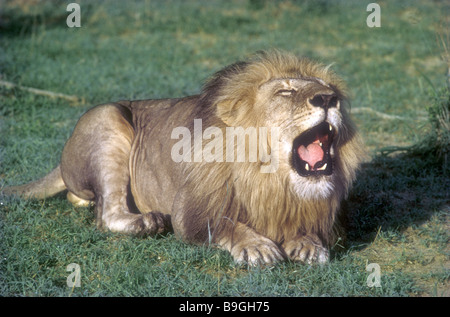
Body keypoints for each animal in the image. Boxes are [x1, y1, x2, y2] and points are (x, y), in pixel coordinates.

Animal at [1, 50, 364, 266]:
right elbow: (226, 224)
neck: (270, 178)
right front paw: (256, 246)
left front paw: (308, 243)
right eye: (286, 91)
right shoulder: (190, 213)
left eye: (328, 88)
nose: (328, 98)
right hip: (108, 118)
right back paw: (145, 222)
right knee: (106, 214)